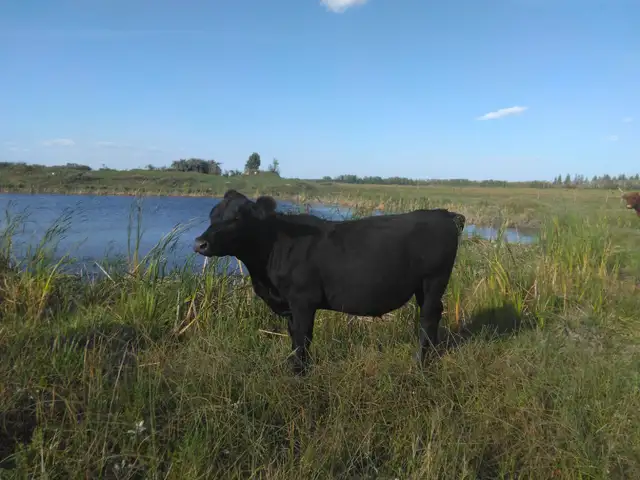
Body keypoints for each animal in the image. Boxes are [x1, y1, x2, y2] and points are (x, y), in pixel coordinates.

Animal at [193, 189, 466, 375]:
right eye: (212, 215)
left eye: (237, 218)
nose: (199, 243)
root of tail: (444, 214)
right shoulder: (290, 305)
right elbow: (293, 336)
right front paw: (295, 366)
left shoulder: (303, 300)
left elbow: (303, 336)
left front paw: (299, 373)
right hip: (422, 286)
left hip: (434, 280)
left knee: (428, 317)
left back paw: (420, 362)